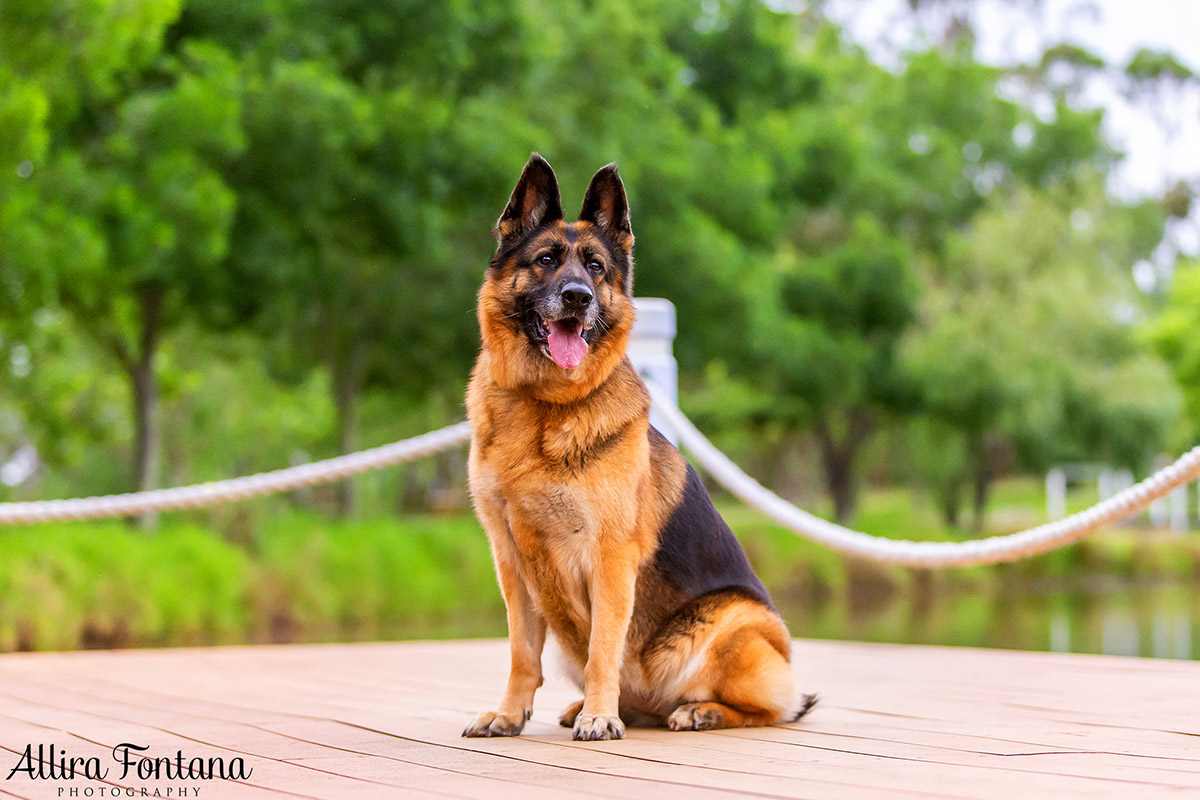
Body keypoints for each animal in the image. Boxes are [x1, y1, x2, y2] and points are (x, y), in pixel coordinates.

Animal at [463, 153, 811, 743]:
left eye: (597, 267)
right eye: (546, 260)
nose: (577, 297)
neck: (545, 405)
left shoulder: (609, 560)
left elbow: (605, 648)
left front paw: (600, 717)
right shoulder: (510, 562)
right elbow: (521, 654)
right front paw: (510, 715)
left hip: (726, 625)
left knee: (773, 708)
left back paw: (692, 711)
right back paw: (587, 707)